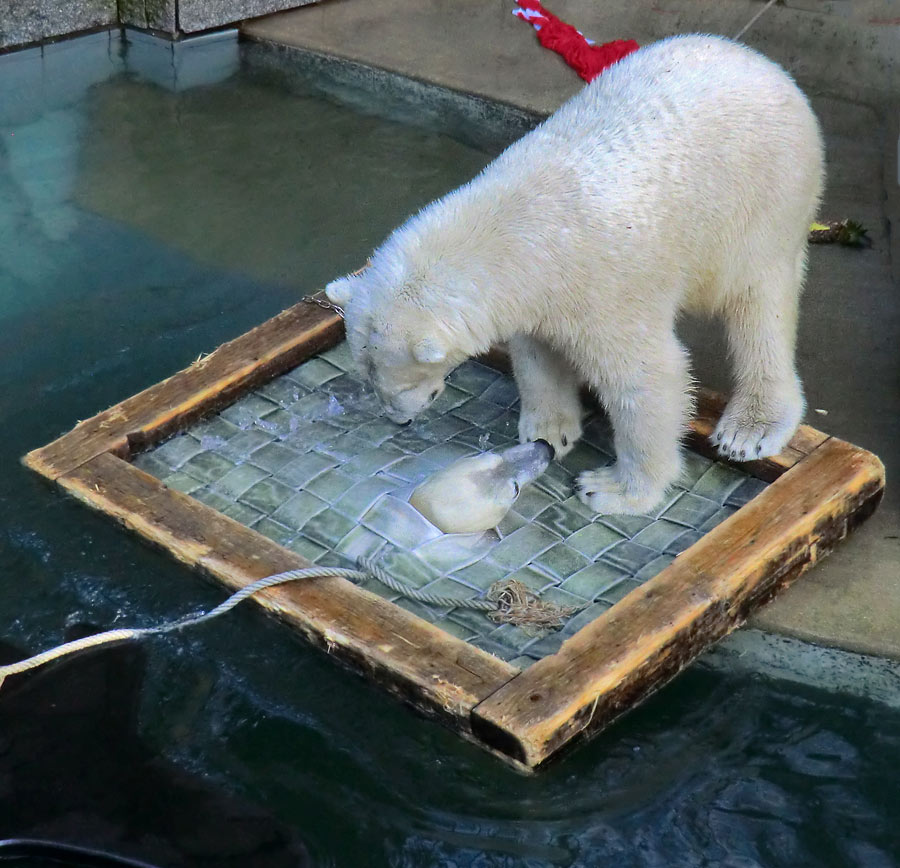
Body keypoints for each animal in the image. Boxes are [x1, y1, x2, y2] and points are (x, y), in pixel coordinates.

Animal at [326, 35, 828, 516]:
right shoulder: (537, 295)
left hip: (760, 202)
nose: (399, 420)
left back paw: (750, 428)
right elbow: (538, 355)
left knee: (758, 308)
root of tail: (760, 62)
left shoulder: (604, 287)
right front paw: (548, 430)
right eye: (368, 375)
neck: (517, 226)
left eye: (397, 383)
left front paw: (613, 490)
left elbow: (649, 378)